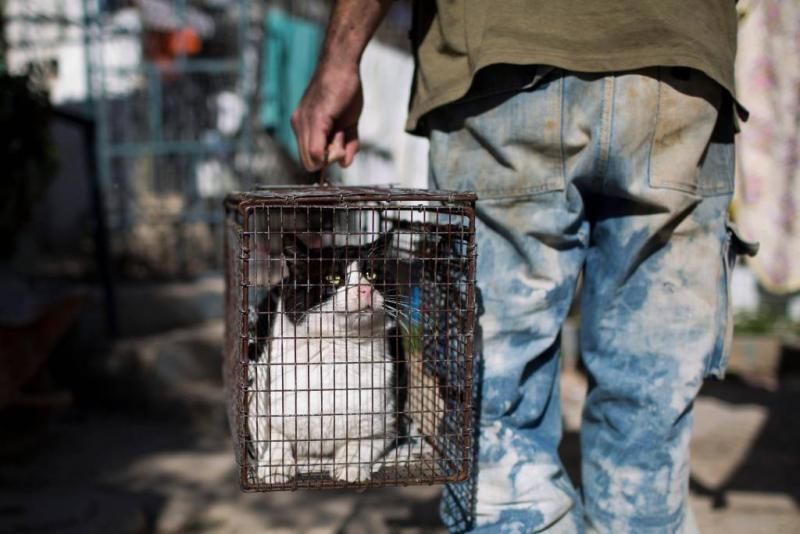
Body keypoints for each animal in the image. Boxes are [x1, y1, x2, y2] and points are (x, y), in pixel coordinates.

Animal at [248, 232, 404, 484]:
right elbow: (276, 436)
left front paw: (350, 466)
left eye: (371, 275)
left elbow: (363, 443)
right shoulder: (262, 408)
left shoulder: (387, 422)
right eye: (333, 278)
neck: (338, 352)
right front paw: (276, 467)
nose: (365, 289)